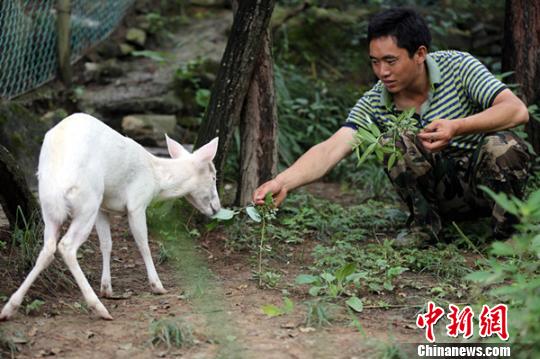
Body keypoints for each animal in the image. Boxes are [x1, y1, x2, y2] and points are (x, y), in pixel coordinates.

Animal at [0, 113, 220, 320]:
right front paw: (157, 286)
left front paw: (107, 288)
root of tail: (58, 186)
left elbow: (106, 244)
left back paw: (9, 308)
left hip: (50, 205)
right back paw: (98, 308)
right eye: (214, 176)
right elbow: (143, 243)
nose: (217, 208)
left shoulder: (103, 208)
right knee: (66, 246)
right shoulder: (137, 202)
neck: (156, 180)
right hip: (87, 201)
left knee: (47, 248)